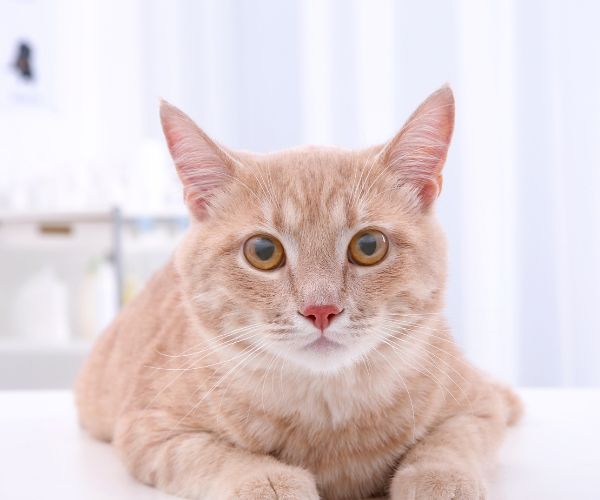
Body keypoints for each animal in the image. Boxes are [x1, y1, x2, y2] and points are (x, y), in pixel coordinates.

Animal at [77, 86, 524, 500]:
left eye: (369, 246)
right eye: (263, 251)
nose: (320, 309)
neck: (327, 412)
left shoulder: (477, 409)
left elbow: (448, 445)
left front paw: (439, 480)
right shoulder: (149, 430)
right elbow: (218, 456)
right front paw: (269, 480)